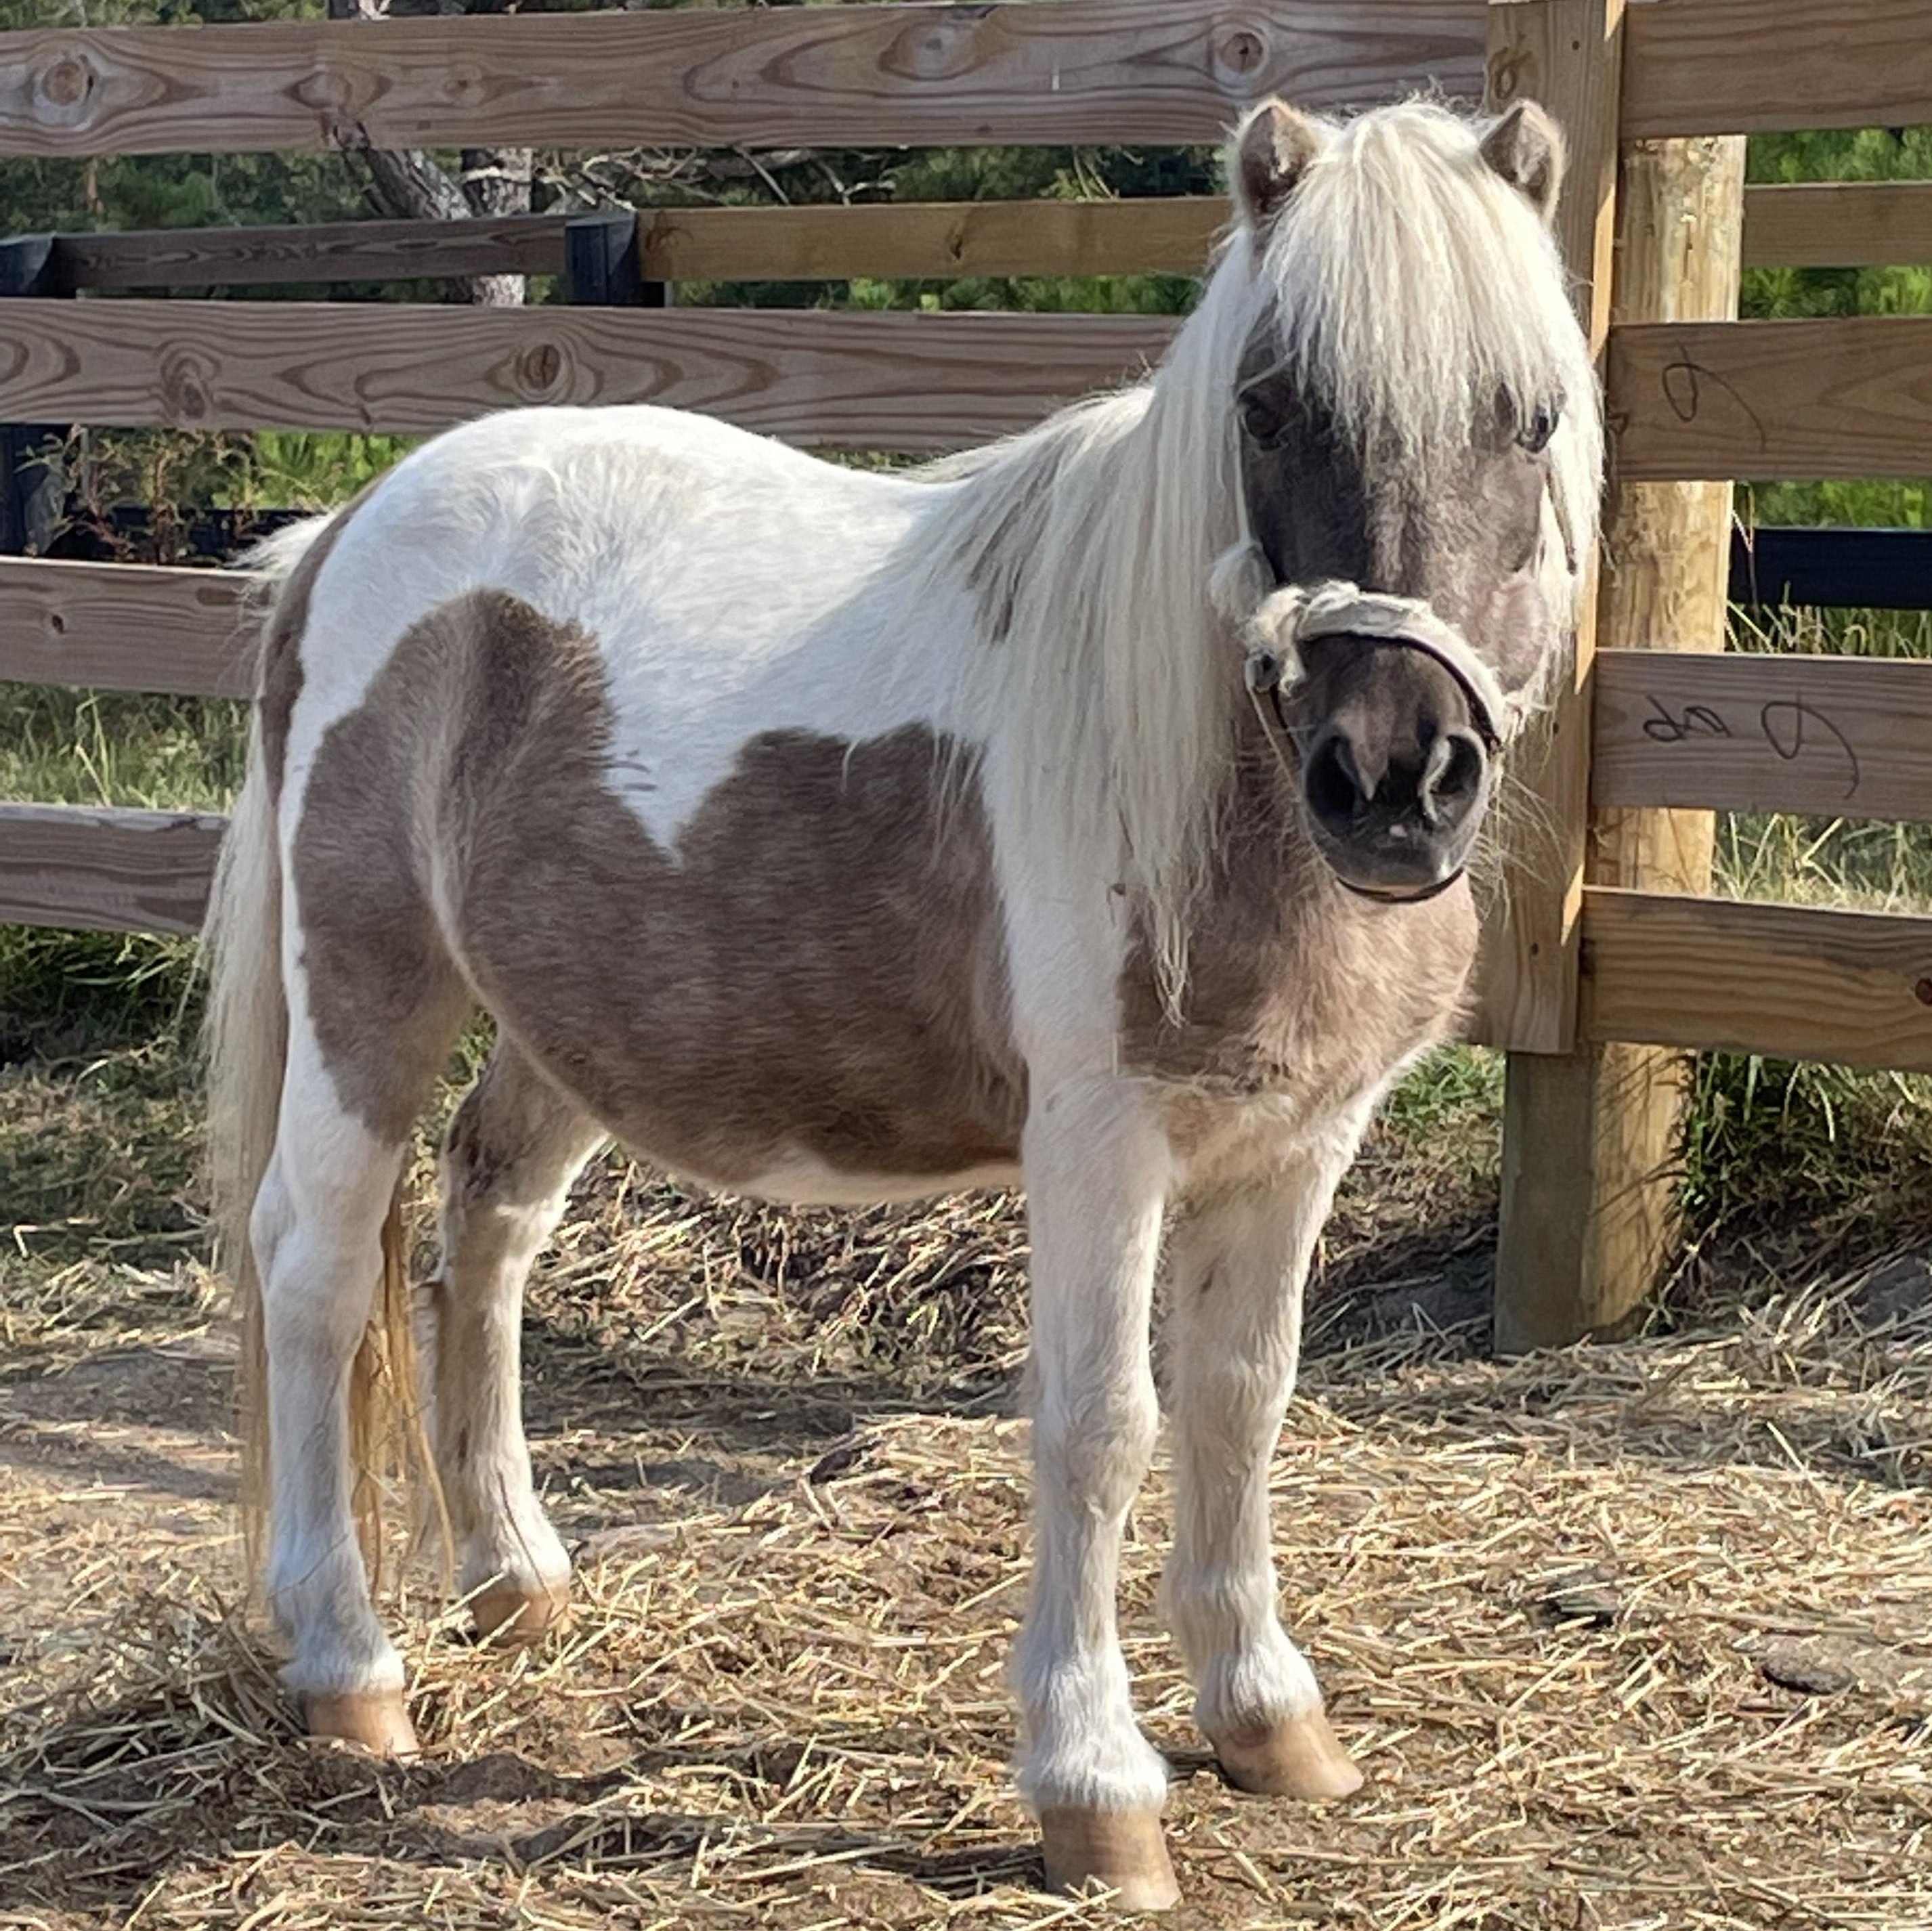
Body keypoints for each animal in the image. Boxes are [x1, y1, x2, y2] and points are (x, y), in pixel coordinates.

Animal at [202, 94, 1601, 1910]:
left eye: (1533, 415)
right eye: (1267, 406)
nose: (1391, 784)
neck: (1196, 782)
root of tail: (351, 527)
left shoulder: (1295, 1143)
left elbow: (1242, 1400)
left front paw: (1265, 1719)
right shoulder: (1099, 1144)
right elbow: (1100, 1423)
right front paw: (1096, 1790)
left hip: (567, 1023)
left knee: (485, 1226)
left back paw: (518, 1577)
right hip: (365, 995)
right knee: (310, 1269)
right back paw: (348, 1669)